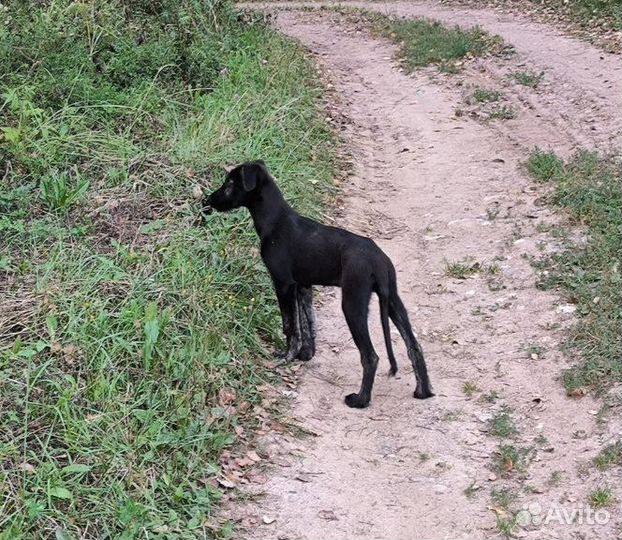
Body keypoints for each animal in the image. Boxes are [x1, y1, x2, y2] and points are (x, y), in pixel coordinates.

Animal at [205, 160, 434, 410]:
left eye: (230, 183)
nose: (208, 200)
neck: (275, 221)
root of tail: (378, 260)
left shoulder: (283, 283)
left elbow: (290, 325)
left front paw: (287, 357)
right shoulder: (303, 286)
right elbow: (309, 324)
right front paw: (306, 354)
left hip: (353, 303)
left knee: (371, 356)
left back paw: (360, 400)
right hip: (393, 300)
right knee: (414, 347)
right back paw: (423, 392)